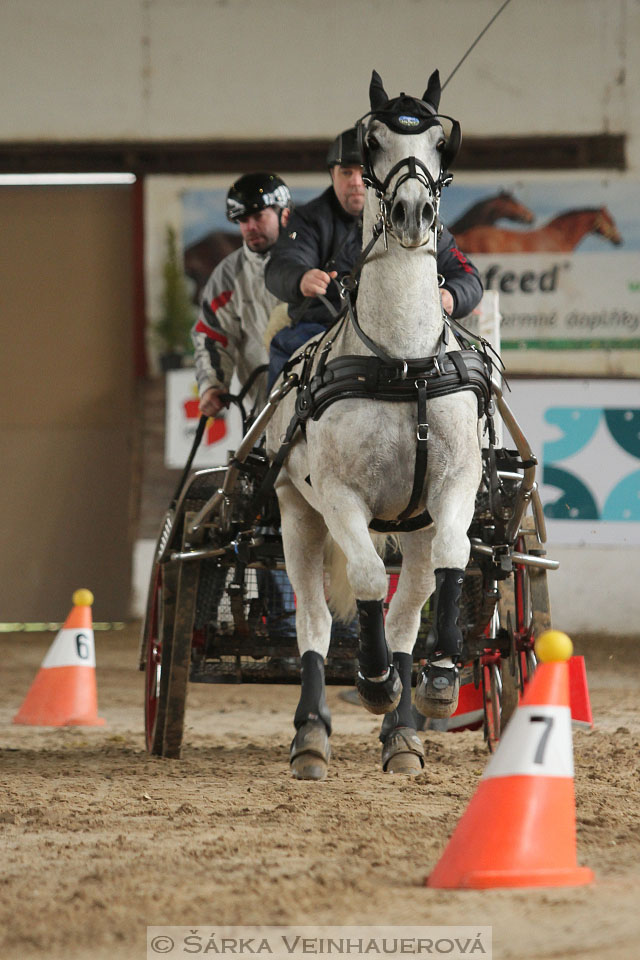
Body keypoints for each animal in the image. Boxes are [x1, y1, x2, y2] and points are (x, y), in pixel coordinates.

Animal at [264, 75, 480, 780]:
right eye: (374, 140)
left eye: (440, 139)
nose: (413, 213)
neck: (404, 362)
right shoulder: (338, 498)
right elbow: (360, 579)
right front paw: (375, 678)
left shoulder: (456, 488)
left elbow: (454, 556)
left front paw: (438, 679)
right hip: (296, 514)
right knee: (312, 620)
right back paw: (312, 734)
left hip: (411, 527)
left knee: (410, 606)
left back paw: (405, 732)